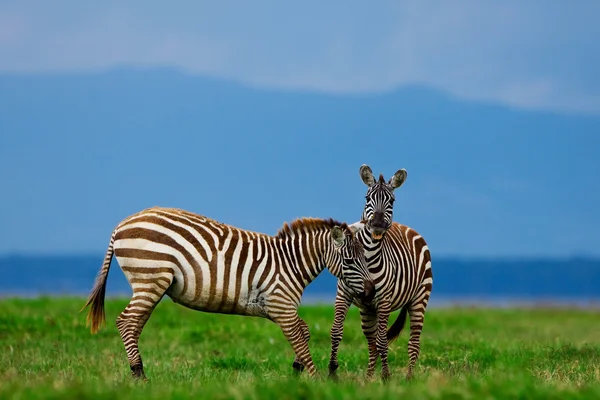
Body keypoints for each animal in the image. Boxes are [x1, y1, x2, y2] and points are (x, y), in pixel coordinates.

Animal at [81, 208, 372, 380]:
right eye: (349, 261)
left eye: (364, 259)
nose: (370, 291)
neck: (290, 263)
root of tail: (122, 224)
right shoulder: (281, 305)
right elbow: (299, 339)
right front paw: (314, 379)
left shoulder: (278, 308)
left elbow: (305, 331)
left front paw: (296, 369)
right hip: (150, 278)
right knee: (127, 322)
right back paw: (139, 373)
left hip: (150, 284)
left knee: (132, 323)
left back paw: (137, 372)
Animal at [328, 166, 432, 382]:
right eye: (367, 198)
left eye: (391, 201)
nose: (376, 223)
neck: (367, 258)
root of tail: (407, 227)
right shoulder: (343, 295)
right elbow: (336, 332)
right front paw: (332, 371)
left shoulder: (384, 300)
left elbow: (383, 340)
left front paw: (386, 376)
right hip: (368, 309)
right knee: (371, 342)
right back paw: (368, 378)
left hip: (419, 299)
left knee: (413, 342)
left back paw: (409, 378)